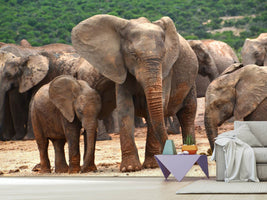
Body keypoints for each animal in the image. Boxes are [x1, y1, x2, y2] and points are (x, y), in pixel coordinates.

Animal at [71, 14, 199, 173]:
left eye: (164, 55)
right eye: (133, 55)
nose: (176, 153)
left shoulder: (167, 70)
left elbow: (156, 108)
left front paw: (151, 165)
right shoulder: (120, 67)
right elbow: (125, 108)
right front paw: (130, 168)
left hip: (191, 82)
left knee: (188, 113)